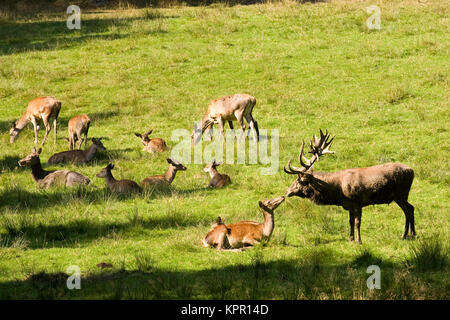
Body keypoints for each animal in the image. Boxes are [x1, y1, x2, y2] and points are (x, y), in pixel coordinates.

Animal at [284, 129, 414, 244]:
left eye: (299, 181)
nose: (287, 192)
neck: (338, 191)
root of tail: (412, 171)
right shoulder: (349, 205)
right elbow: (350, 221)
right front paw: (351, 239)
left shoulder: (358, 202)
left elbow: (357, 222)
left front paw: (359, 241)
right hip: (400, 196)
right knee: (411, 208)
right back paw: (412, 234)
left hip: (401, 194)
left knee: (408, 210)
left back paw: (405, 235)